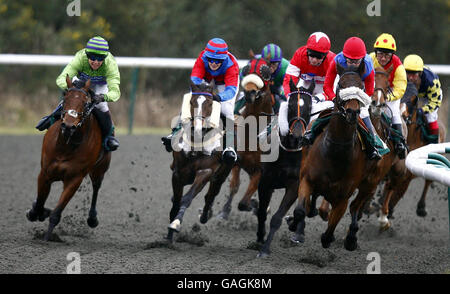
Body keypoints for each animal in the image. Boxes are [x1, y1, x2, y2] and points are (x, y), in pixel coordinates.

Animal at [26, 76, 110, 241]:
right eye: (65, 99)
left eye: (85, 102)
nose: (69, 126)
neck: (65, 146)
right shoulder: (45, 173)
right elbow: (39, 204)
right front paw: (36, 212)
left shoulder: (74, 179)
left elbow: (56, 213)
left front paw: (47, 238)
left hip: (100, 169)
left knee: (96, 187)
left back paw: (92, 218)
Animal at [166, 80, 236, 241]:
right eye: (191, 102)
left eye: (210, 103)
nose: (198, 129)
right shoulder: (178, 173)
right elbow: (176, 202)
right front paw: (169, 237)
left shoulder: (206, 171)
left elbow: (187, 198)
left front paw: (175, 224)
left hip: (221, 175)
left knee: (210, 196)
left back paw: (205, 215)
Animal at [216, 55, 272, 220]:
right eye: (247, 68)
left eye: (265, 71)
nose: (249, 92)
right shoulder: (236, 162)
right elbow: (234, 187)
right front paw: (225, 211)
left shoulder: (260, 171)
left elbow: (243, 203)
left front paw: (254, 205)